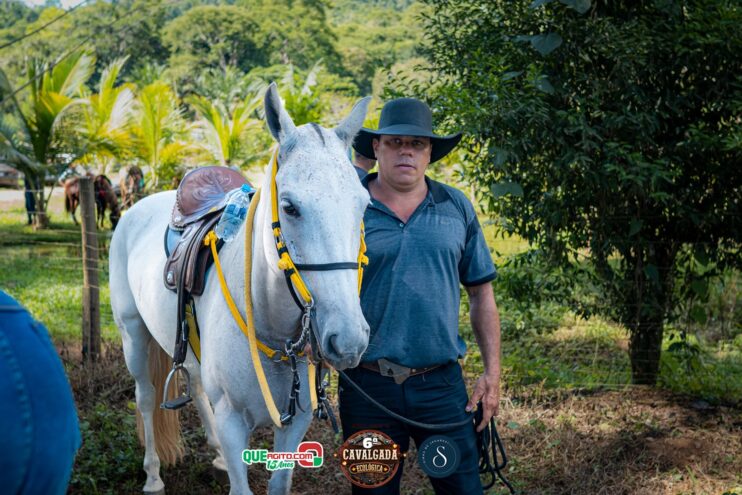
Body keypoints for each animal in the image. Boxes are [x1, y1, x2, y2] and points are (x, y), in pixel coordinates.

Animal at [109, 83, 371, 495]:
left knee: (198, 390)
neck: (269, 324)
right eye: (290, 207)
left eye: (363, 205)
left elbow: (278, 483)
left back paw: (213, 455)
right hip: (133, 335)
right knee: (147, 399)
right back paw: (152, 475)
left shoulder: (296, 422)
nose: (348, 340)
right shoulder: (233, 423)